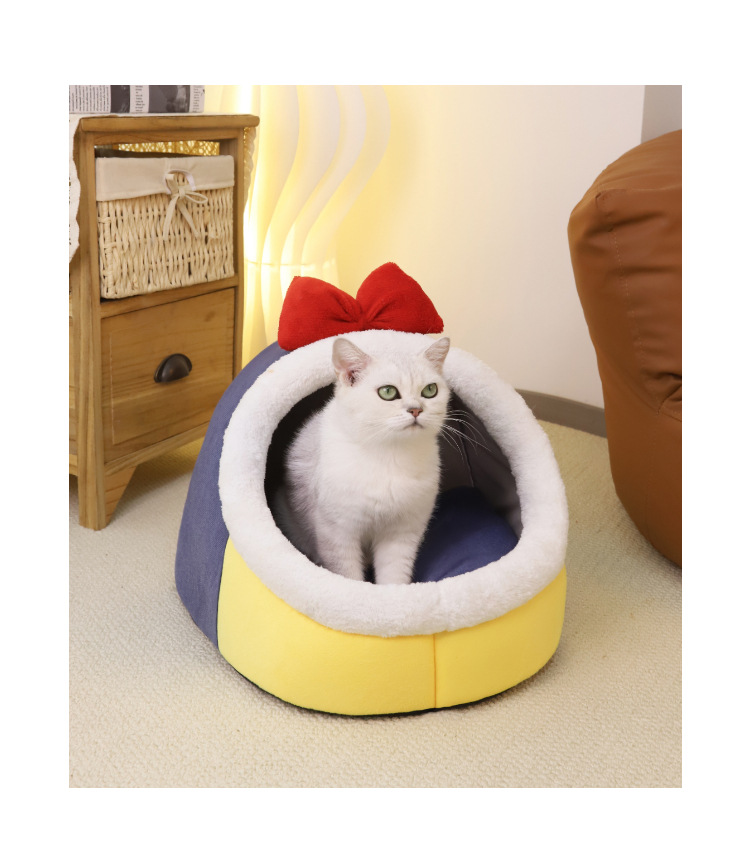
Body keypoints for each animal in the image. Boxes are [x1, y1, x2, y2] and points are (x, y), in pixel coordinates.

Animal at [278, 335, 451, 585]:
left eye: (430, 390)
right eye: (388, 392)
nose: (416, 410)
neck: (390, 456)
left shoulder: (401, 534)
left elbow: (394, 575)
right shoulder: (337, 532)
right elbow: (348, 575)